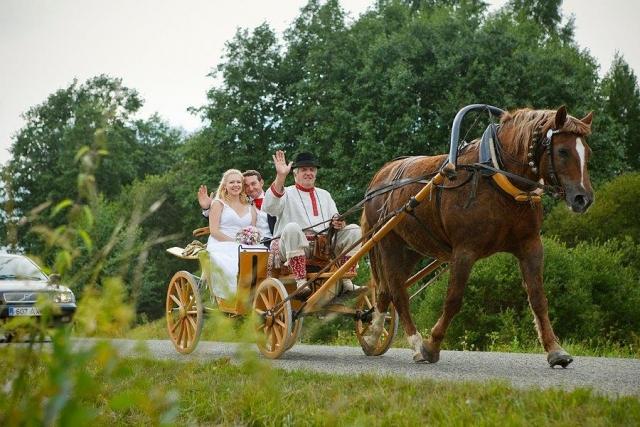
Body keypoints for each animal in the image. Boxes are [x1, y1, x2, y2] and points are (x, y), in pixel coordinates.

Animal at [360, 106, 596, 368]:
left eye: (588, 152)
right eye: (563, 151)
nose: (583, 198)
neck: (496, 178)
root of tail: (380, 176)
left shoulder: (531, 245)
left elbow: (538, 298)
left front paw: (555, 349)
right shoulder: (465, 250)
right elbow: (453, 299)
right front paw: (431, 346)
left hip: (411, 248)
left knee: (384, 291)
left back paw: (373, 335)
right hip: (388, 242)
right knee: (398, 293)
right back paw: (414, 343)